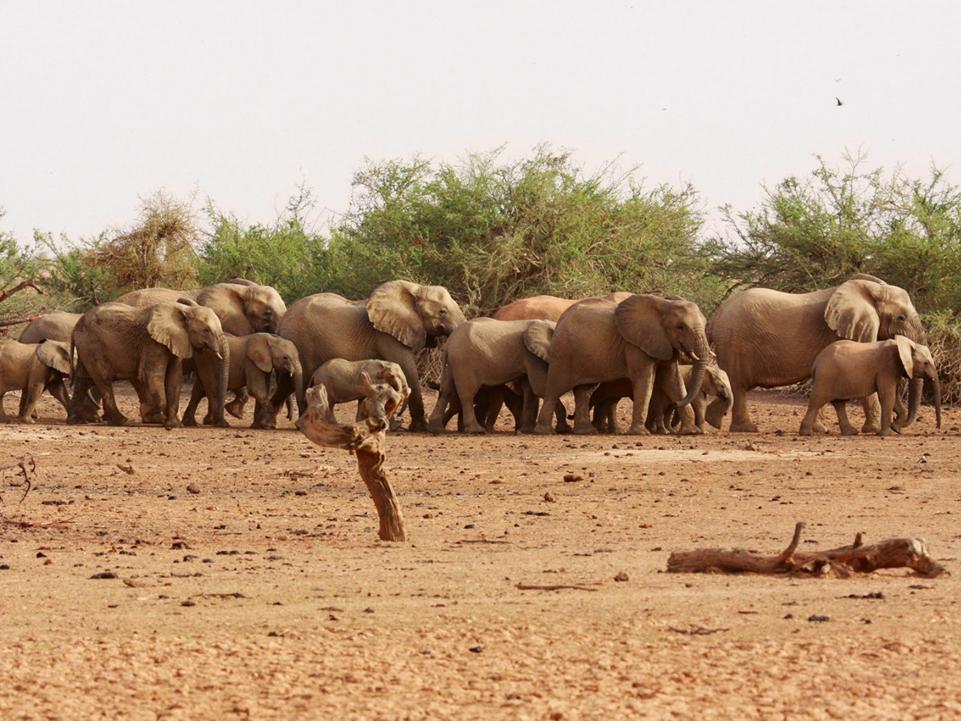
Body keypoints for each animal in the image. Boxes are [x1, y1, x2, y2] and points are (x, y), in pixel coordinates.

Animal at [114, 278, 284, 424]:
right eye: (268, 313)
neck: (244, 291)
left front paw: (203, 420)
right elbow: (212, 374)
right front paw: (230, 414)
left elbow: (202, 384)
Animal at [276, 280, 466, 428]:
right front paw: (420, 428)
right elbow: (407, 368)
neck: (415, 289)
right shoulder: (386, 335)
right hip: (300, 342)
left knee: (285, 384)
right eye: (442, 311)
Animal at [532, 294, 712, 434]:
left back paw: (586, 431)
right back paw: (545, 432)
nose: (675, 403)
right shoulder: (634, 345)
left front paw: (691, 432)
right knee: (555, 389)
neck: (663, 305)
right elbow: (645, 380)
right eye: (680, 327)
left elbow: (673, 381)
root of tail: (560, 320)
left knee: (584, 391)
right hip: (563, 354)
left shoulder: (664, 343)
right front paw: (640, 433)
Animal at [712, 272, 924, 430]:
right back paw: (747, 429)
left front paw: (819, 430)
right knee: (738, 386)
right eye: (901, 318)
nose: (898, 424)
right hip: (733, 343)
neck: (871, 289)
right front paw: (873, 429)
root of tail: (717, 314)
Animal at [800, 334, 940, 436]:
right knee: (817, 401)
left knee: (839, 403)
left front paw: (895, 428)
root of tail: (816, 363)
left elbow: (894, 396)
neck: (901, 345)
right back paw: (806, 433)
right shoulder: (887, 367)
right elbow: (887, 396)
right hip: (825, 377)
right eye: (926, 363)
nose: (938, 427)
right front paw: (888, 434)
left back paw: (851, 432)